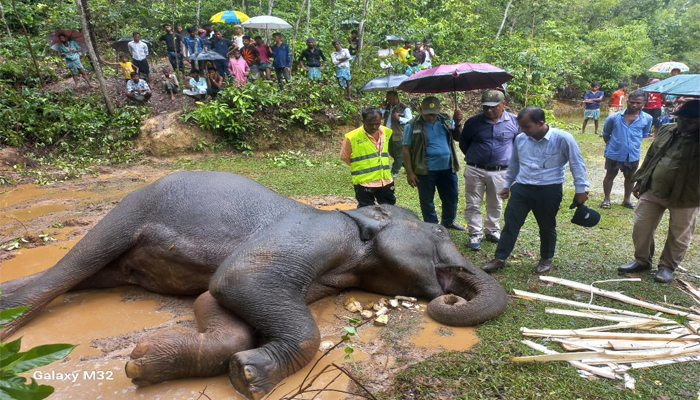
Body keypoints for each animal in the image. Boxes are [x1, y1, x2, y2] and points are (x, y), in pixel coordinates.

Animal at [0, 171, 506, 400]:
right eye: (438, 231)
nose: (448, 295)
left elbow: (214, 297)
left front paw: (146, 364)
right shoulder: (318, 233)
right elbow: (238, 279)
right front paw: (251, 377)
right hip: (130, 210)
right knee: (68, 271)